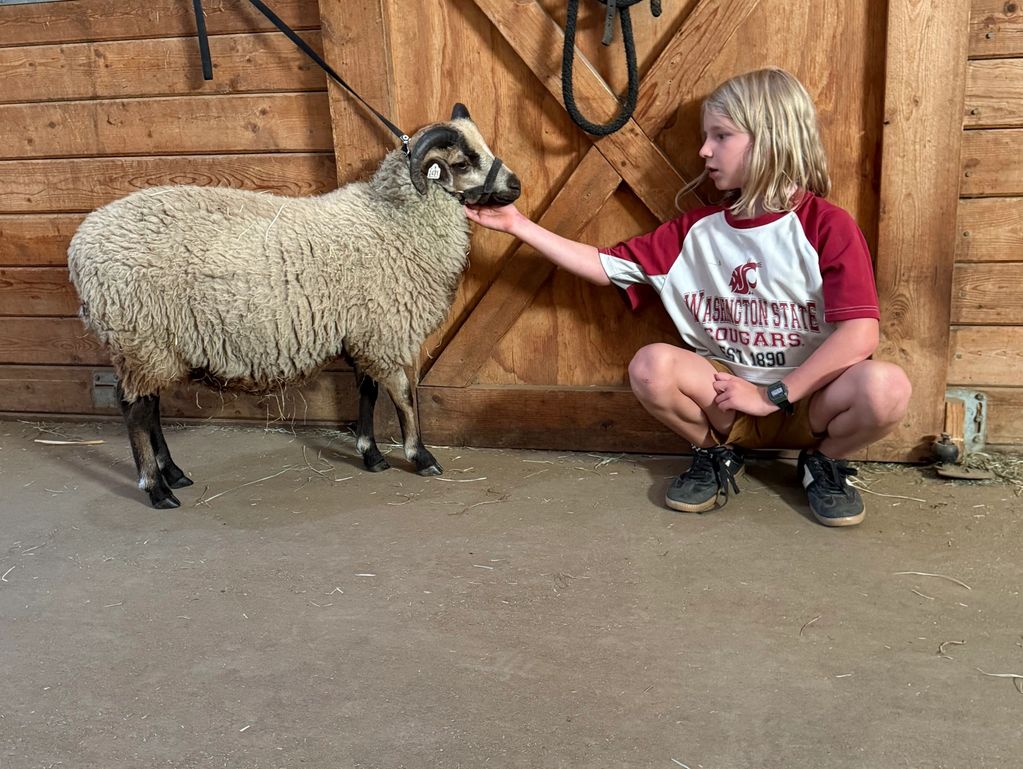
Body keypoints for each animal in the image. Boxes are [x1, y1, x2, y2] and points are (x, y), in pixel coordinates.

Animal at [67, 103, 521, 509]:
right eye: (463, 162)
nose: (516, 185)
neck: (392, 219)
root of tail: (80, 246)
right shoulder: (385, 331)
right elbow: (404, 395)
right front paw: (420, 456)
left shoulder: (362, 329)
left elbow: (367, 392)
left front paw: (371, 455)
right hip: (140, 335)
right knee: (134, 409)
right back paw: (156, 488)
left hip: (153, 344)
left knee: (151, 406)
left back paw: (173, 474)